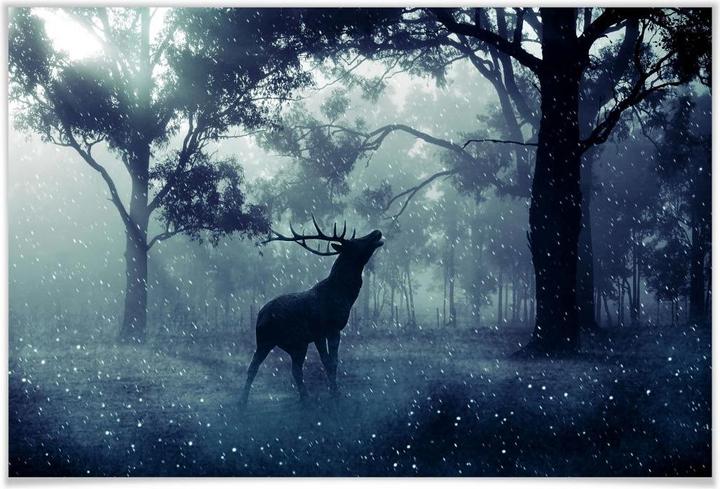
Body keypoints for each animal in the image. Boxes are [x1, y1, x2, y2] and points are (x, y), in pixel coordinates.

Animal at [240, 216, 384, 406]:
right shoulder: (325, 329)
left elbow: (332, 361)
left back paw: (302, 397)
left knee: (289, 369)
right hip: (272, 340)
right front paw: (335, 394)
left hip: (289, 344)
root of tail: (259, 317)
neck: (344, 294)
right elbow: (330, 362)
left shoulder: (327, 332)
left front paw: (334, 391)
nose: (377, 232)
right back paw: (245, 402)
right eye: (355, 242)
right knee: (260, 367)